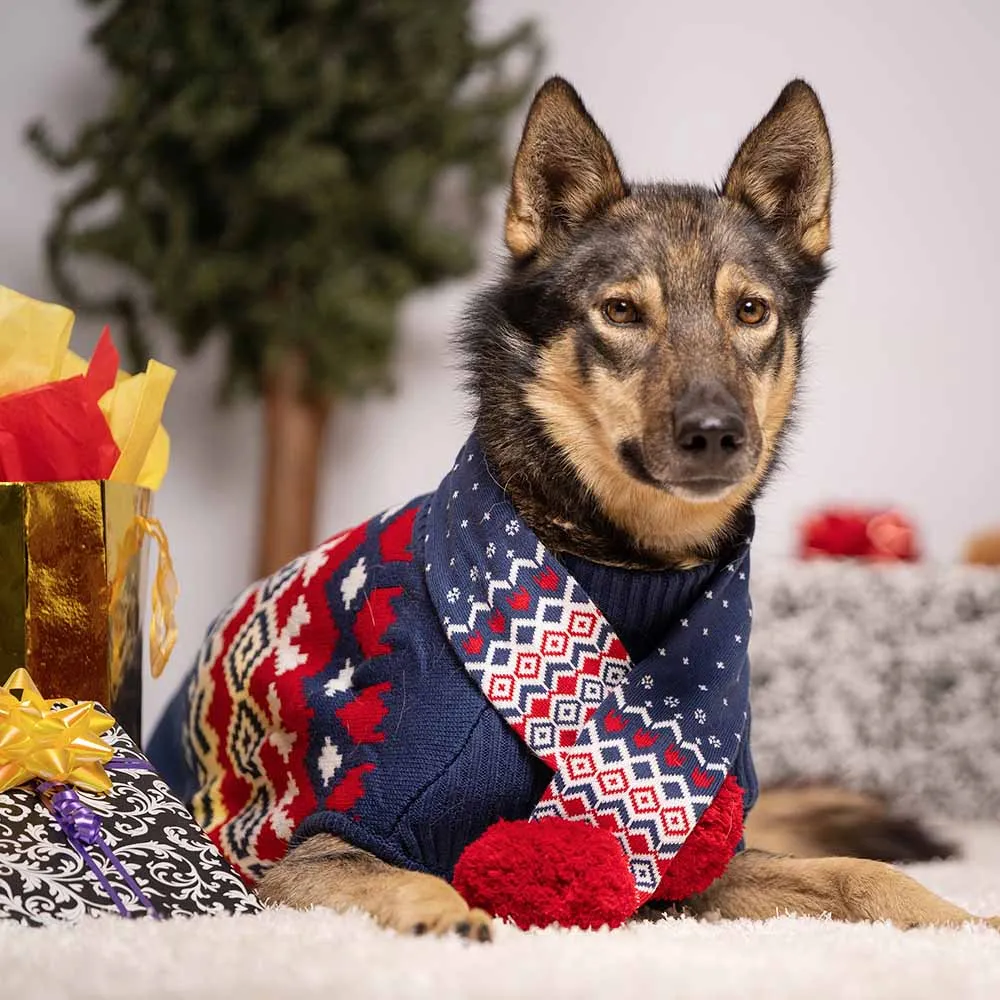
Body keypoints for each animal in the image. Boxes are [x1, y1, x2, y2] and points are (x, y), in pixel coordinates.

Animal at [152, 76, 996, 936]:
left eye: (751, 311)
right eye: (621, 312)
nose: (717, 435)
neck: (622, 568)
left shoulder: (693, 868)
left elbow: (858, 872)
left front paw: (966, 922)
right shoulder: (318, 850)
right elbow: (413, 879)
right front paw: (451, 916)